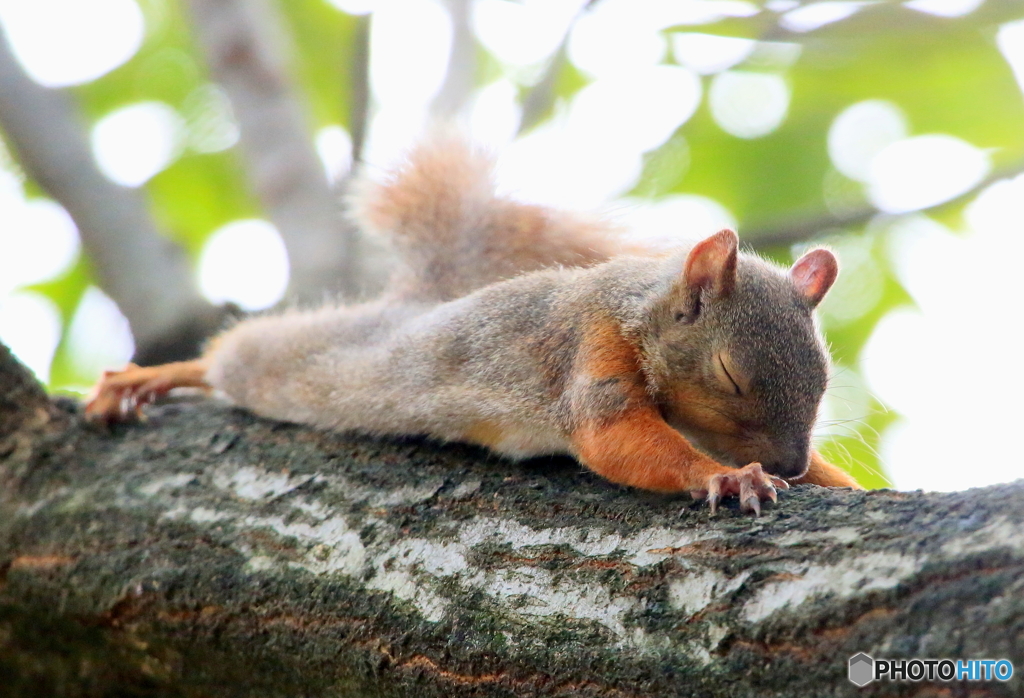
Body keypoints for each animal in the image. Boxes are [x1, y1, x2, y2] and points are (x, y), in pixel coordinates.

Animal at [83, 134, 860, 511]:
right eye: (730, 374)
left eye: (825, 380)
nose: (788, 464)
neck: (631, 309)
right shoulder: (590, 349)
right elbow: (615, 438)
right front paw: (728, 479)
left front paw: (838, 483)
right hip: (292, 363)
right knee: (228, 357)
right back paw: (148, 378)